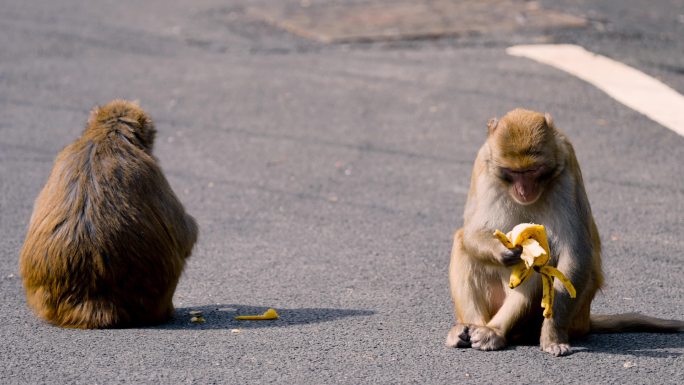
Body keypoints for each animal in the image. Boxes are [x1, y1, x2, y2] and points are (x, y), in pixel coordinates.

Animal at [446, 107, 680, 354]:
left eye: (533, 170)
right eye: (513, 171)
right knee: (463, 243)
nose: (524, 190)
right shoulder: (482, 164)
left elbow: (574, 252)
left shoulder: (567, 168)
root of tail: (585, 320)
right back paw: (469, 327)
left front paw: (552, 336)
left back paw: (495, 331)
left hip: (570, 315)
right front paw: (502, 251)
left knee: (541, 261)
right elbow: (472, 231)